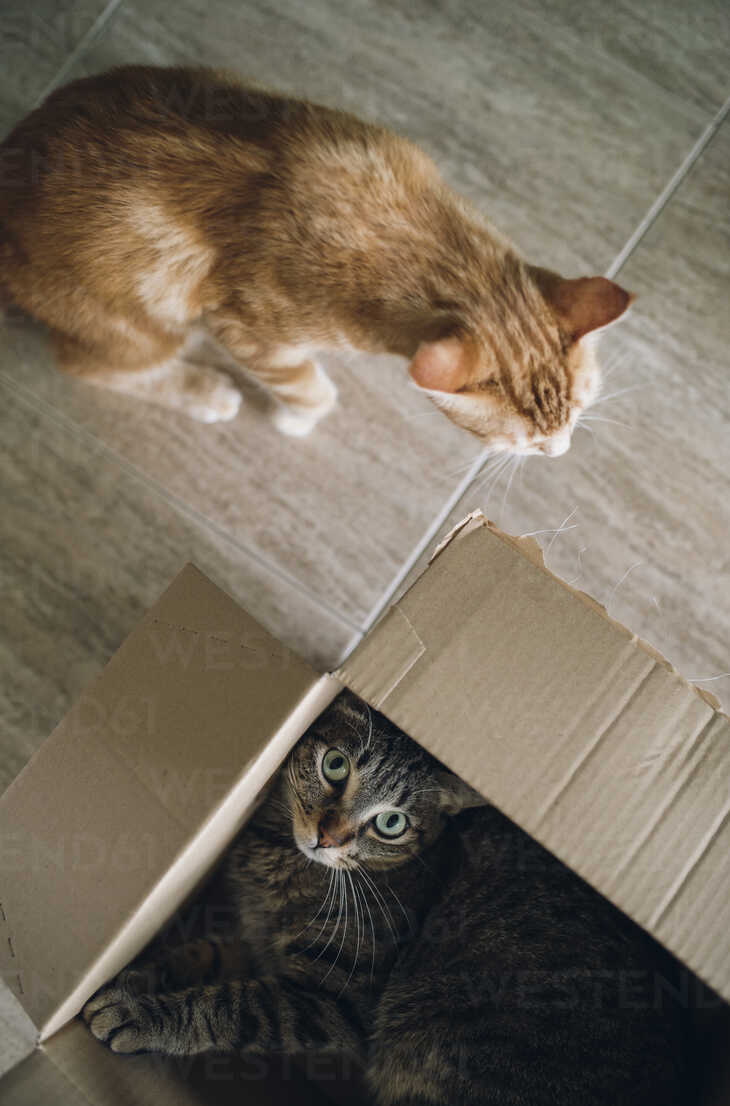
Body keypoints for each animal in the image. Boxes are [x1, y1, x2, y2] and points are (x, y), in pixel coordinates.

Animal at [0, 65, 628, 453]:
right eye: (523, 443)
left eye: (579, 411)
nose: (560, 451)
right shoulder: (249, 332)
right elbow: (308, 387)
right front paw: (295, 416)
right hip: (143, 326)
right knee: (88, 366)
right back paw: (202, 392)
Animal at [84, 685, 685, 1101]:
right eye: (335, 765)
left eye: (391, 823)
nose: (328, 837)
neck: (281, 860)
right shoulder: (254, 940)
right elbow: (202, 954)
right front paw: (139, 975)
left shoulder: (334, 999)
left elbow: (233, 1003)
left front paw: (142, 1014)